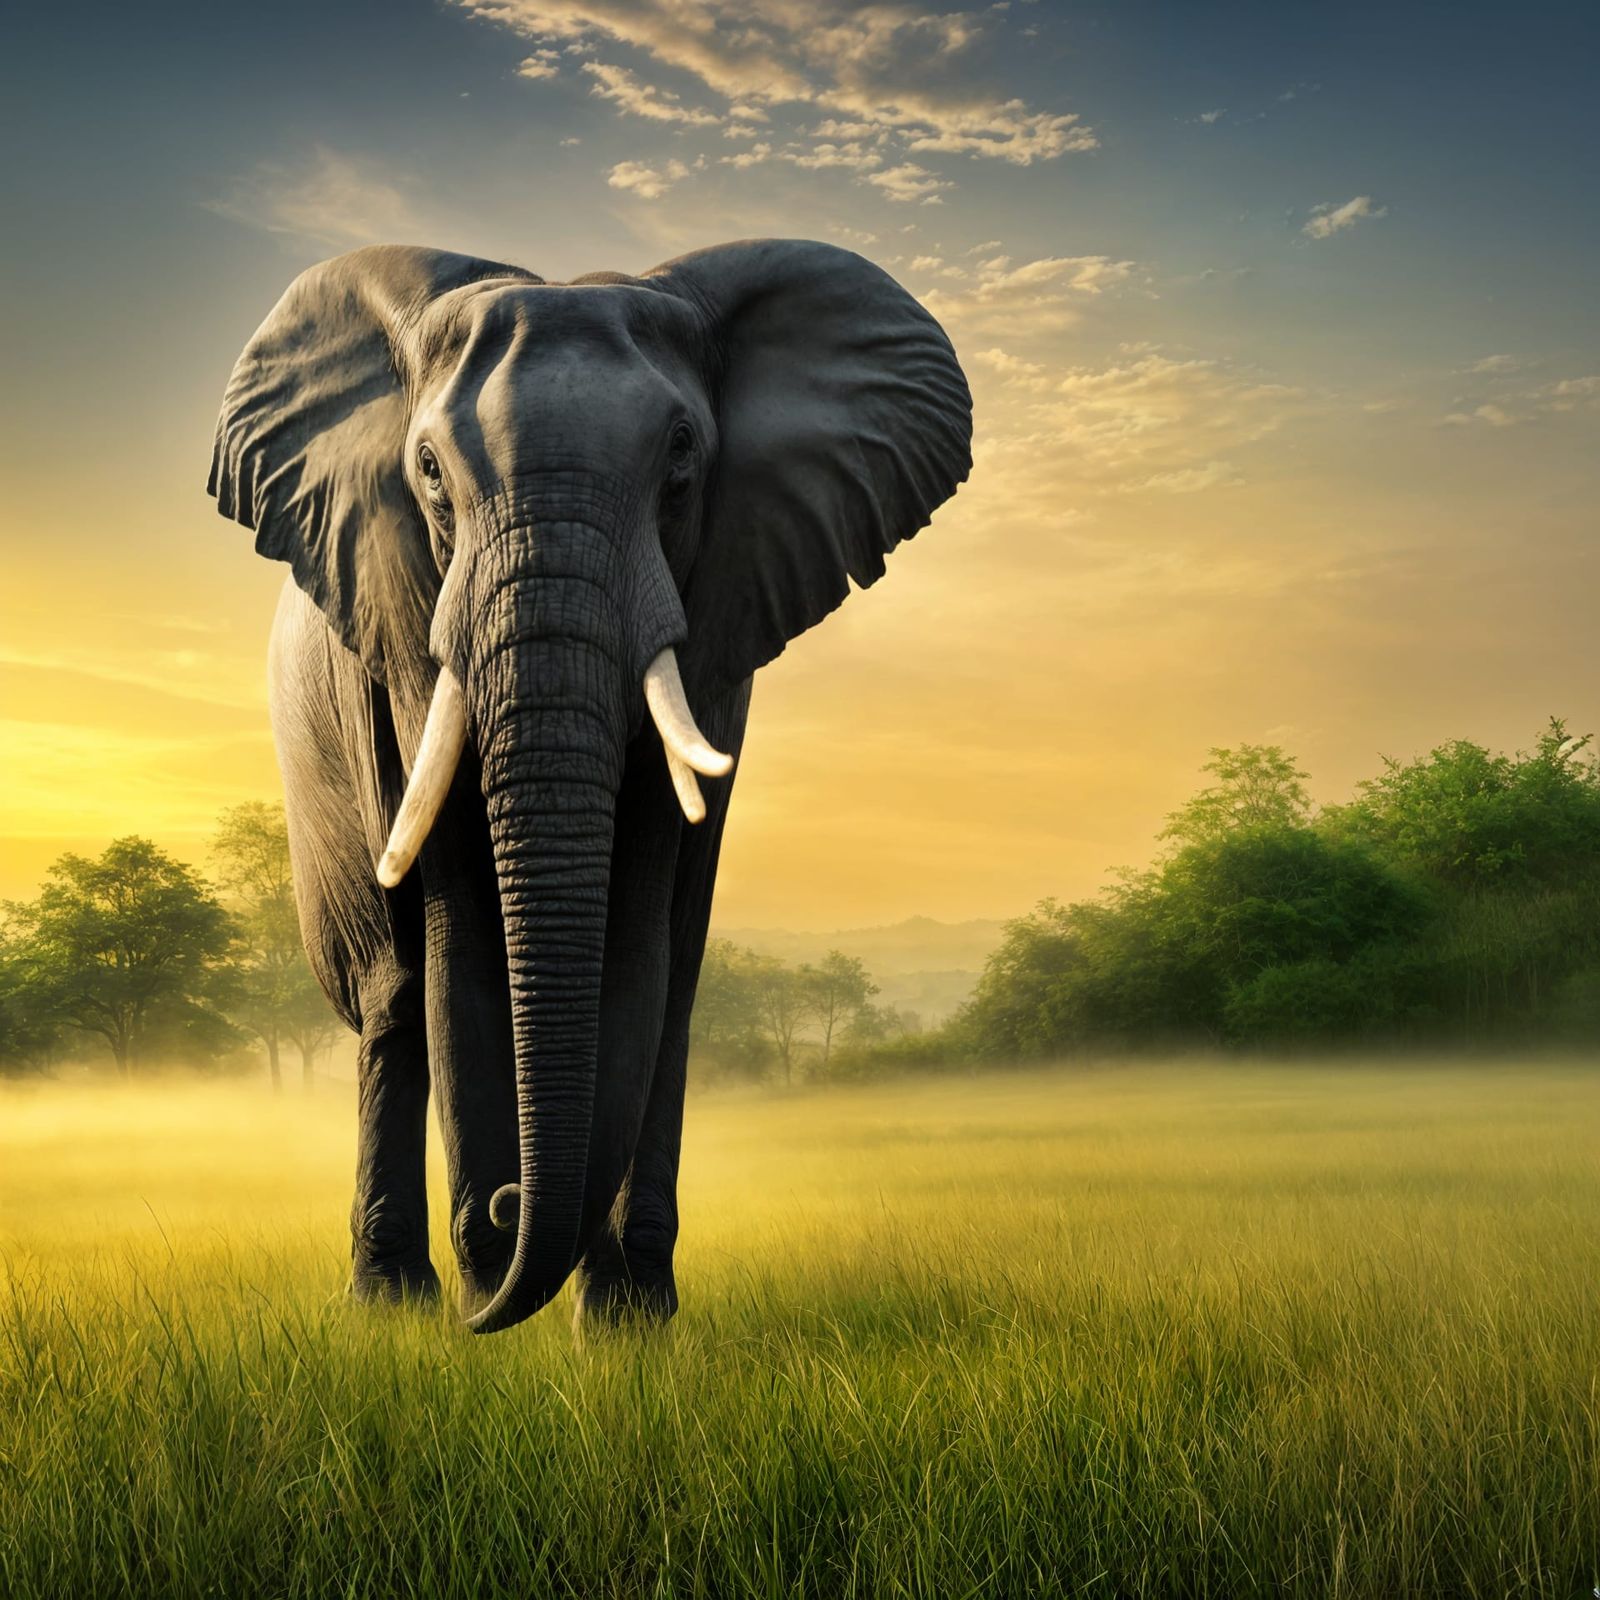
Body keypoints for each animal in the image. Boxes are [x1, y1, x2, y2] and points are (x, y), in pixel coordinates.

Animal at [208, 239, 972, 1334]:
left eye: (683, 457)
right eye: (427, 473)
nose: (509, 1202)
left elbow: (643, 929)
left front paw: (621, 1328)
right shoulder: (406, 630)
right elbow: (455, 931)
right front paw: (489, 1295)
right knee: (394, 997)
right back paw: (394, 1305)